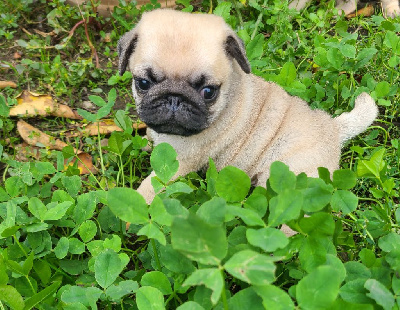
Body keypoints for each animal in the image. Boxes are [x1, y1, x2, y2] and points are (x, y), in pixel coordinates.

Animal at [118, 8, 378, 205]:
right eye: (143, 83)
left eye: (208, 92)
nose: (174, 98)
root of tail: (333, 129)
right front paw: (146, 142)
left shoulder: (180, 163)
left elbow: (150, 188)